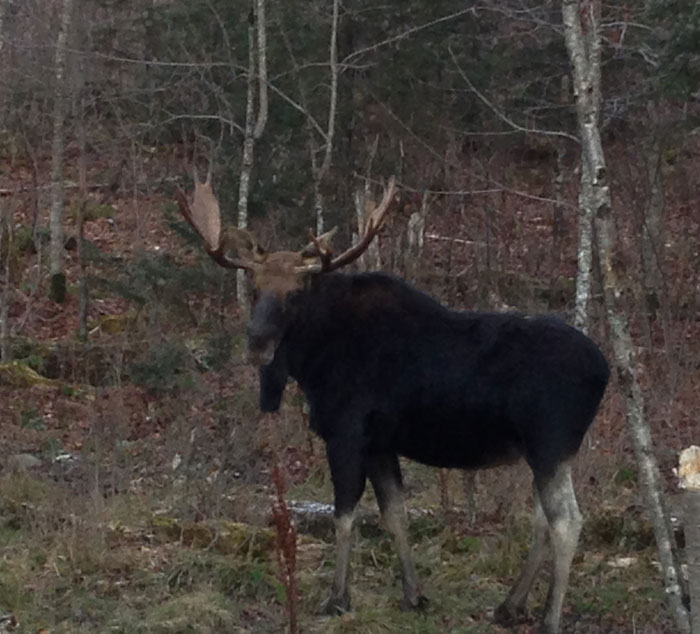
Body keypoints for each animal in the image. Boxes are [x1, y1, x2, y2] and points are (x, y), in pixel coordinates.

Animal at [175, 171, 610, 634]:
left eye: (295, 293)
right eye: (255, 289)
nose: (257, 342)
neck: (313, 362)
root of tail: (604, 371)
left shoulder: (346, 432)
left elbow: (345, 515)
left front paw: (338, 597)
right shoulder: (381, 444)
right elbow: (395, 515)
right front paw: (414, 594)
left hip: (550, 442)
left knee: (567, 521)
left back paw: (548, 618)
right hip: (542, 451)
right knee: (543, 518)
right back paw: (510, 606)